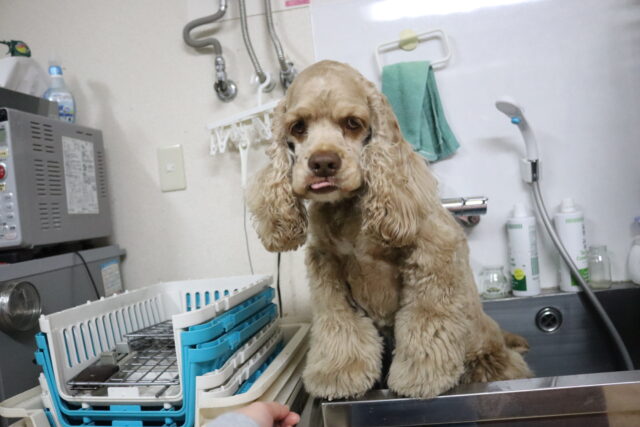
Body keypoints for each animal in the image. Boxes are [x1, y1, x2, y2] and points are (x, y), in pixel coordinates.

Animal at [248, 60, 532, 399]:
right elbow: (338, 321)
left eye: (353, 123)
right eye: (298, 127)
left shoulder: (433, 254)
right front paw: (337, 375)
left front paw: (421, 377)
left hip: (485, 350)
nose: (323, 163)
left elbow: (426, 320)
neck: (349, 209)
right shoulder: (327, 266)